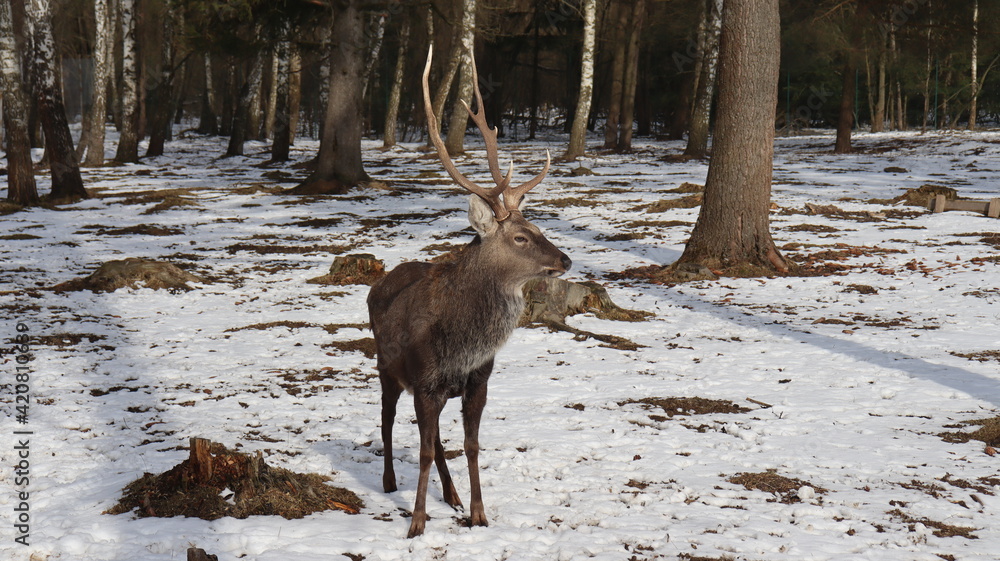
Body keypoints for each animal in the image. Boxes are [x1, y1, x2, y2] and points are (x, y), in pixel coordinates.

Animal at [366, 48, 571, 538]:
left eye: (538, 227)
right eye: (520, 237)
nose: (565, 260)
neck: (463, 342)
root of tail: (378, 281)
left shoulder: (477, 381)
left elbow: (470, 446)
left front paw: (478, 513)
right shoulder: (424, 380)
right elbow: (422, 449)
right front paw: (417, 523)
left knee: (437, 438)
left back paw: (452, 494)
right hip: (385, 366)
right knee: (386, 421)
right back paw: (389, 481)